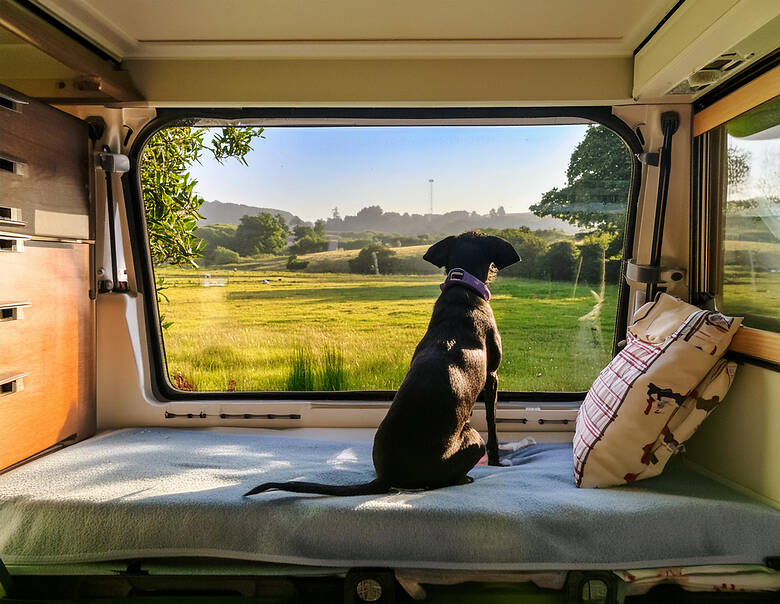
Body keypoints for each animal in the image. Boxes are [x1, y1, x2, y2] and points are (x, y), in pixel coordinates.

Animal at [244, 232, 520, 496]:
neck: (462, 290)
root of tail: (387, 478)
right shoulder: (492, 376)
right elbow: (493, 425)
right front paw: (497, 462)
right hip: (473, 439)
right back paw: (465, 477)